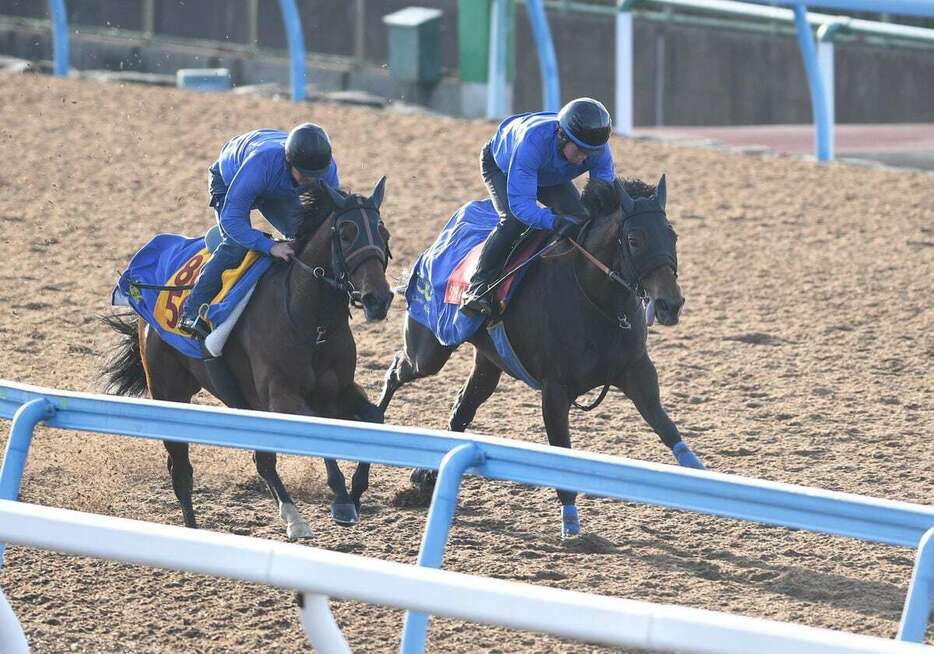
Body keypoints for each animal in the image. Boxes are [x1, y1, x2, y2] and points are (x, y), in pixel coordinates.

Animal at [103, 177, 394, 540]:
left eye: (385, 235)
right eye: (346, 233)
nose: (378, 299)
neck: (311, 322)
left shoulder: (338, 391)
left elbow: (374, 419)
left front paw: (354, 493)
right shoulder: (280, 397)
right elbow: (317, 431)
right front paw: (341, 500)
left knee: (261, 461)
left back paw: (292, 516)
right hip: (169, 391)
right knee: (181, 471)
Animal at [376, 176, 704, 540]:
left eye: (672, 235)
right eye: (634, 239)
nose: (670, 304)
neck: (598, 303)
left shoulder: (636, 370)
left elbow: (665, 425)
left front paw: (701, 474)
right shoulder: (555, 389)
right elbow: (561, 450)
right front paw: (570, 520)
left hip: (489, 362)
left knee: (462, 408)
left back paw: (426, 475)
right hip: (429, 351)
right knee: (397, 369)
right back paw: (374, 422)